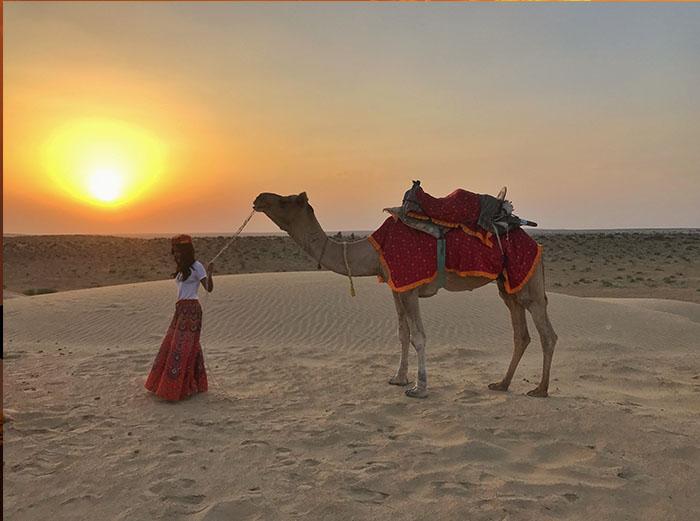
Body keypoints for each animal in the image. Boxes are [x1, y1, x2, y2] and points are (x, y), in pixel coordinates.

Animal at [253, 191, 557, 398]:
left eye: (286, 201)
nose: (259, 198)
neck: (374, 251)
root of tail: (536, 245)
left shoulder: (409, 287)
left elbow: (419, 337)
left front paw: (419, 388)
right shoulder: (396, 288)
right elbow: (403, 334)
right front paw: (398, 378)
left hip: (527, 280)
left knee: (547, 333)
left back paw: (540, 389)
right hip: (508, 285)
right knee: (521, 333)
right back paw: (501, 384)